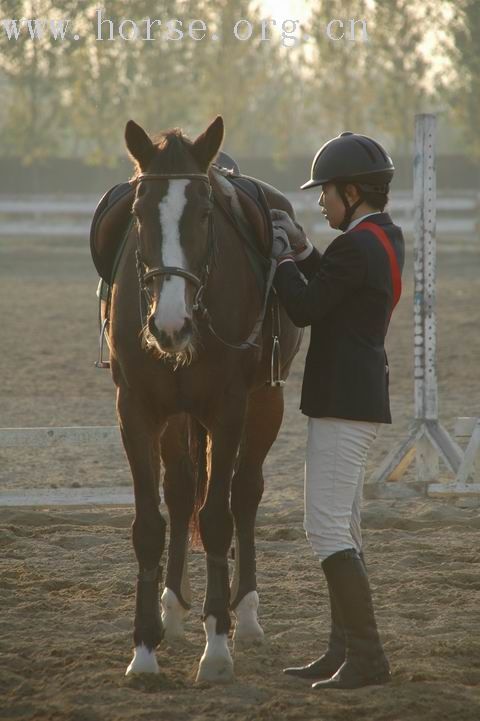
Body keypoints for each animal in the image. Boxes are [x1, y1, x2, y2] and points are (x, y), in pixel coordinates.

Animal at [109, 114, 300, 680]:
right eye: (139, 213)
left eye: (204, 212)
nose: (169, 326)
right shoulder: (136, 411)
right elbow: (149, 524)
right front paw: (144, 648)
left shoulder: (229, 409)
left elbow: (218, 519)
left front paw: (217, 646)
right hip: (176, 418)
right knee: (179, 491)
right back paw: (172, 608)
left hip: (266, 404)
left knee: (245, 494)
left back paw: (247, 615)